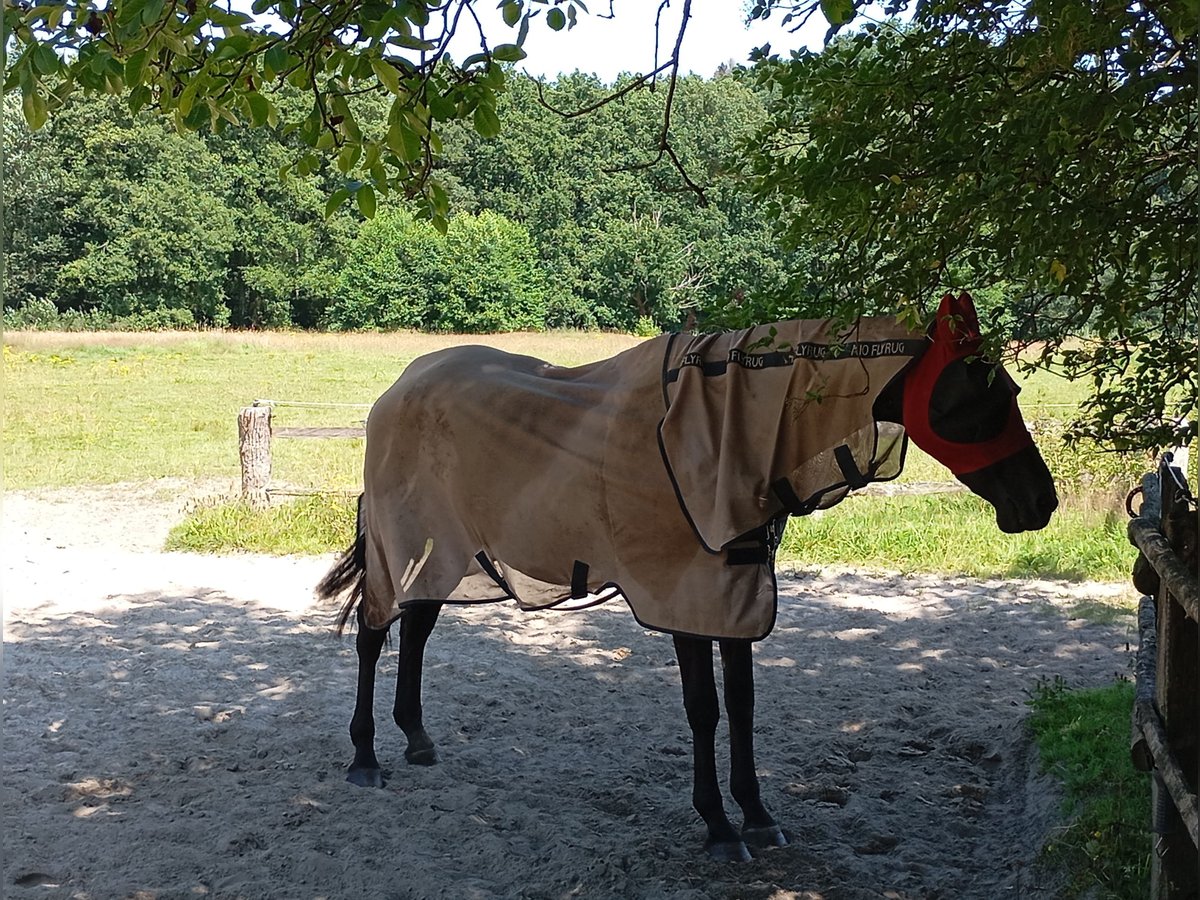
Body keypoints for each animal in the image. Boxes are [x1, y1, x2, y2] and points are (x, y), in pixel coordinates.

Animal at [314, 292, 1056, 864]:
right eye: (974, 397)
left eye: (1010, 390)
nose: (1039, 503)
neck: (718, 434)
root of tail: (394, 392)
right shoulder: (688, 597)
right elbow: (705, 708)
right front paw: (720, 827)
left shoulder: (734, 594)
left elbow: (744, 704)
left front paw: (757, 814)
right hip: (402, 546)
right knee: (376, 636)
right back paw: (365, 758)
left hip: (447, 551)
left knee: (417, 630)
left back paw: (415, 739)